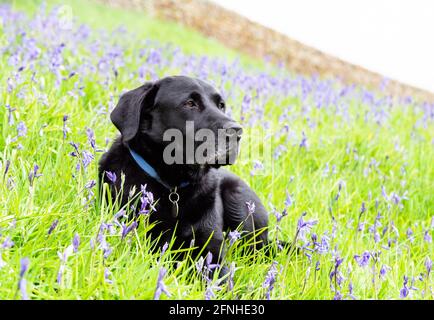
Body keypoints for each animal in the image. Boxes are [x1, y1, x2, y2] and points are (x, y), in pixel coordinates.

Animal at [99, 75, 268, 276]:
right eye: (190, 103)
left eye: (221, 105)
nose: (237, 131)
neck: (174, 185)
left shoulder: (210, 247)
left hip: (238, 197)